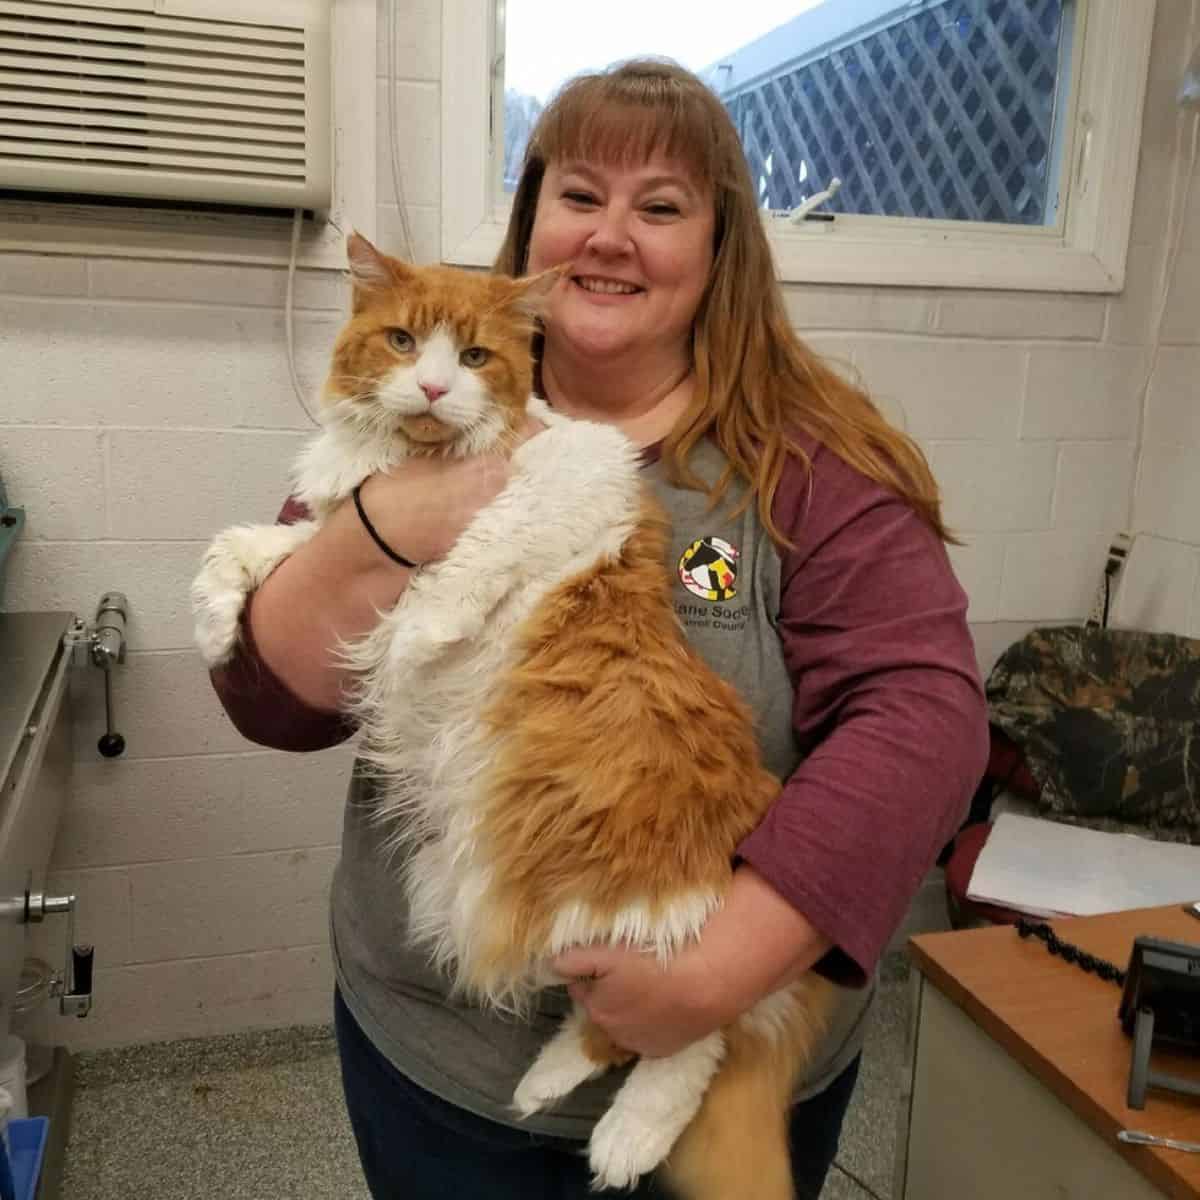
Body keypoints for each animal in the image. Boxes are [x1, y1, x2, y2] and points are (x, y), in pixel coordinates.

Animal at [194, 236, 835, 1200]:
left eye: (472, 357)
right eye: (401, 340)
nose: (431, 389)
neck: (419, 456)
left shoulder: (575, 473)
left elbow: (480, 550)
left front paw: (426, 629)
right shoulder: (337, 540)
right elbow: (251, 551)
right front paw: (214, 626)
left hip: (646, 925)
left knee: (695, 1040)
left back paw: (622, 1143)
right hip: (562, 921)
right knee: (621, 1032)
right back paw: (545, 1088)